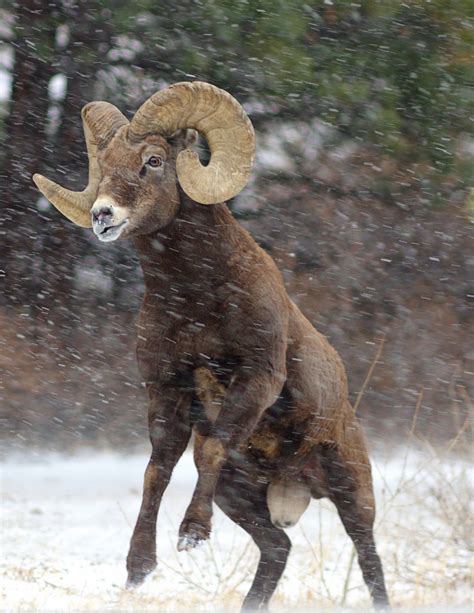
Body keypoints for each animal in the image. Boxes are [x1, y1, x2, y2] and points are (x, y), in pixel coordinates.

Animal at [33, 80, 388, 608]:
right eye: (105, 161)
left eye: (154, 160)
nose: (102, 215)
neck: (196, 301)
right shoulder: (167, 388)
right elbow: (158, 469)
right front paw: (139, 568)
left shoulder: (257, 378)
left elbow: (213, 450)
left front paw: (191, 535)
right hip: (240, 499)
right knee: (278, 548)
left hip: (351, 490)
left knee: (369, 558)